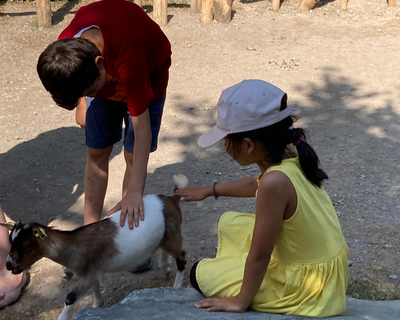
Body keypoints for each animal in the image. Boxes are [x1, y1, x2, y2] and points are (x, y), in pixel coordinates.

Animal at [1, 175, 189, 320]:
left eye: (26, 246)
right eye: (11, 243)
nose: (8, 265)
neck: (74, 245)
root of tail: (172, 199)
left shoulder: (90, 272)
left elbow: (70, 297)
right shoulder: (91, 272)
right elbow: (95, 287)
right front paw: (97, 305)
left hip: (174, 234)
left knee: (181, 256)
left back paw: (176, 287)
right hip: (166, 235)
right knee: (165, 250)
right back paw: (165, 268)